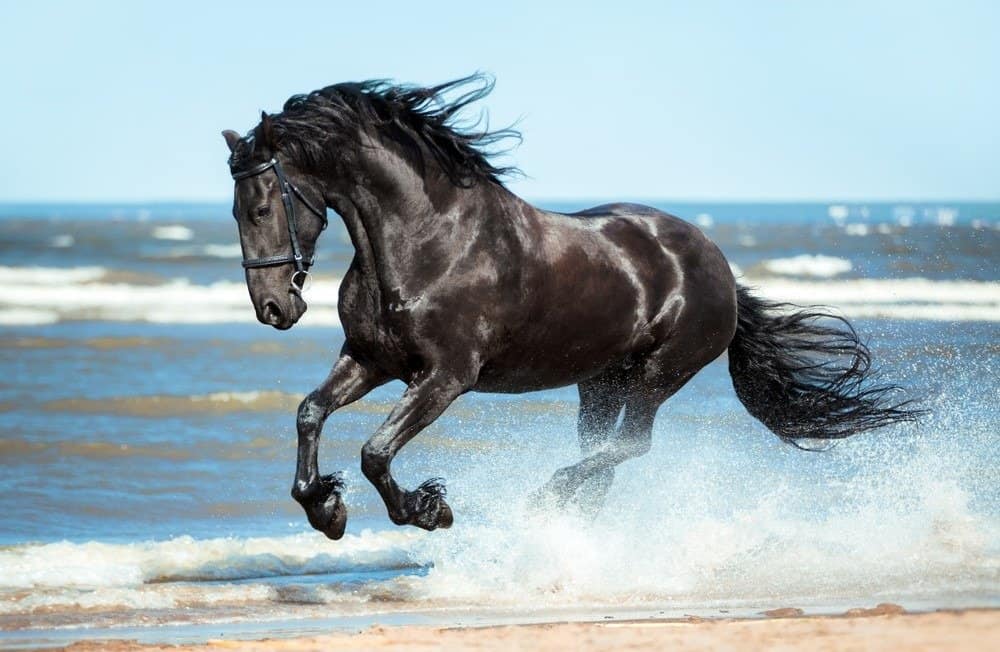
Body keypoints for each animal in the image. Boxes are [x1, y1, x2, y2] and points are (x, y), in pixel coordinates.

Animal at [223, 75, 916, 540]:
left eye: (261, 206)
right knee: (604, 454)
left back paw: (547, 498)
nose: (274, 308)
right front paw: (326, 508)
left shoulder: (446, 377)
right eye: (234, 210)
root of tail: (717, 264)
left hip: (660, 373)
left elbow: (375, 451)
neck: (427, 239)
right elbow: (310, 413)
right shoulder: (370, 359)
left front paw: (427, 509)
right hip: (600, 382)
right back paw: (568, 520)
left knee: (630, 446)